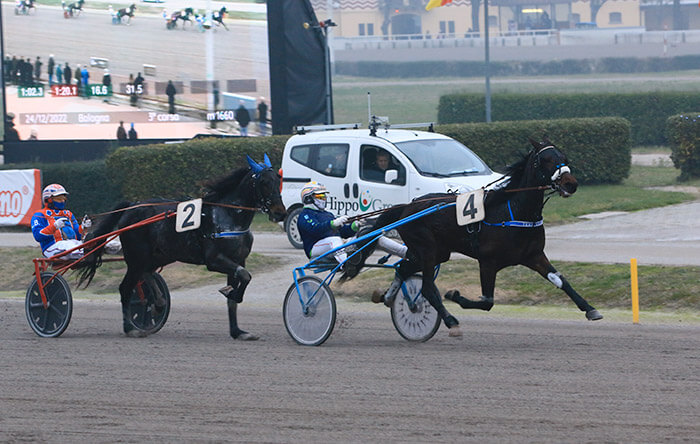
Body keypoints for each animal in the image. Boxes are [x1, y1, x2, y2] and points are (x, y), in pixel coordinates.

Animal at [77, 155, 286, 339]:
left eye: (278, 180)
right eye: (264, 182)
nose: (280, 213)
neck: (228, 216)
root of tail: (131, 207)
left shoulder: (238, 259)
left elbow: (237, 291)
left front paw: (237, 331)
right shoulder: (214, 260)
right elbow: (244, 276)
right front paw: (232, 293)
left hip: (159, 254)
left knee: (147, 273)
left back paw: (158, 303)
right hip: (138, 256)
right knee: (126, 288)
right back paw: (131, 328)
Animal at [343, 138, 602, 337]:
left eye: (564, 157)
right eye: (546, 160)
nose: (571, 183)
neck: (514, 211)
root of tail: (407, 206)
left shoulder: (534, 255)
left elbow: (561, 280)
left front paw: (590, 308)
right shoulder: (487, 261)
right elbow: (487, 301)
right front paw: (455, 295)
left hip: (437, 252)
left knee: (404, 269)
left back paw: (388, 296)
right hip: (427, 249)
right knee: (427, 288)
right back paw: (450, 321)